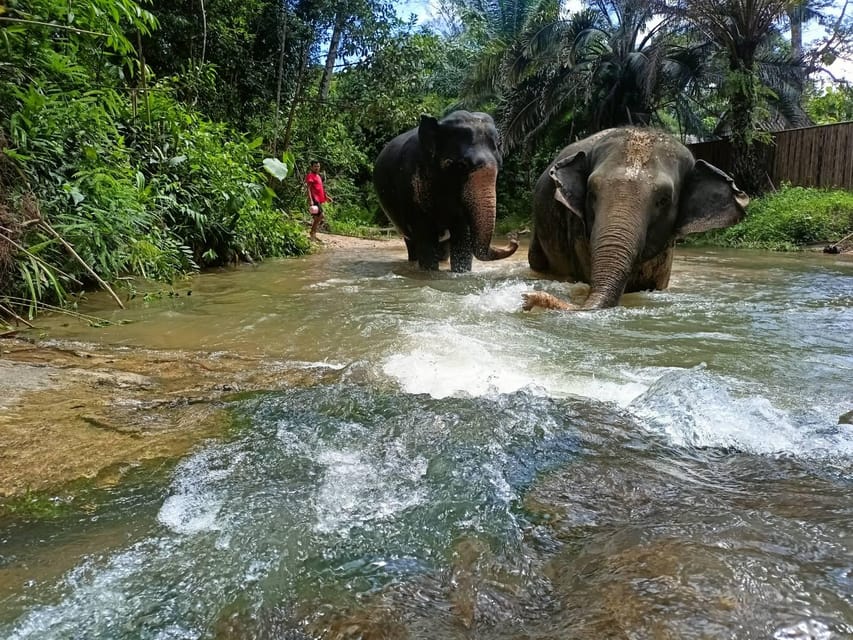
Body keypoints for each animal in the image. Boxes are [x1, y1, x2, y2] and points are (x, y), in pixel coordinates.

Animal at [372, 111, 520, 272]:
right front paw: (430, 273)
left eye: (500, 165)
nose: (513, 240)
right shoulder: (411, 187)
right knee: (411, 242)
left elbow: (462, 237)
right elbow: (425, 236)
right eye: (461, 165)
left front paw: (460, 273)